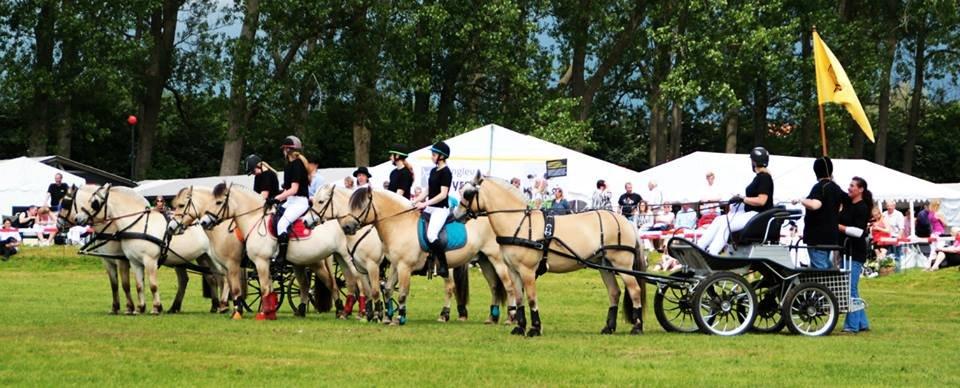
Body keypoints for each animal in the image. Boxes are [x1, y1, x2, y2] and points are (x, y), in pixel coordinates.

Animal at [452, 174, 644, 336]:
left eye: (468, 193)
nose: (455, 215)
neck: (519, 223)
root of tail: (625, 221)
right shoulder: (513, 270)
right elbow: (519, 298)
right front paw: (519, 327)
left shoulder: (528, 271)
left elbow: (531, 298)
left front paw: (535, 328)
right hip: (604, 266)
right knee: (614, 292)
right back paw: (609, 327)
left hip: (622, 264)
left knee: (635, 290)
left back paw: (637, 327)